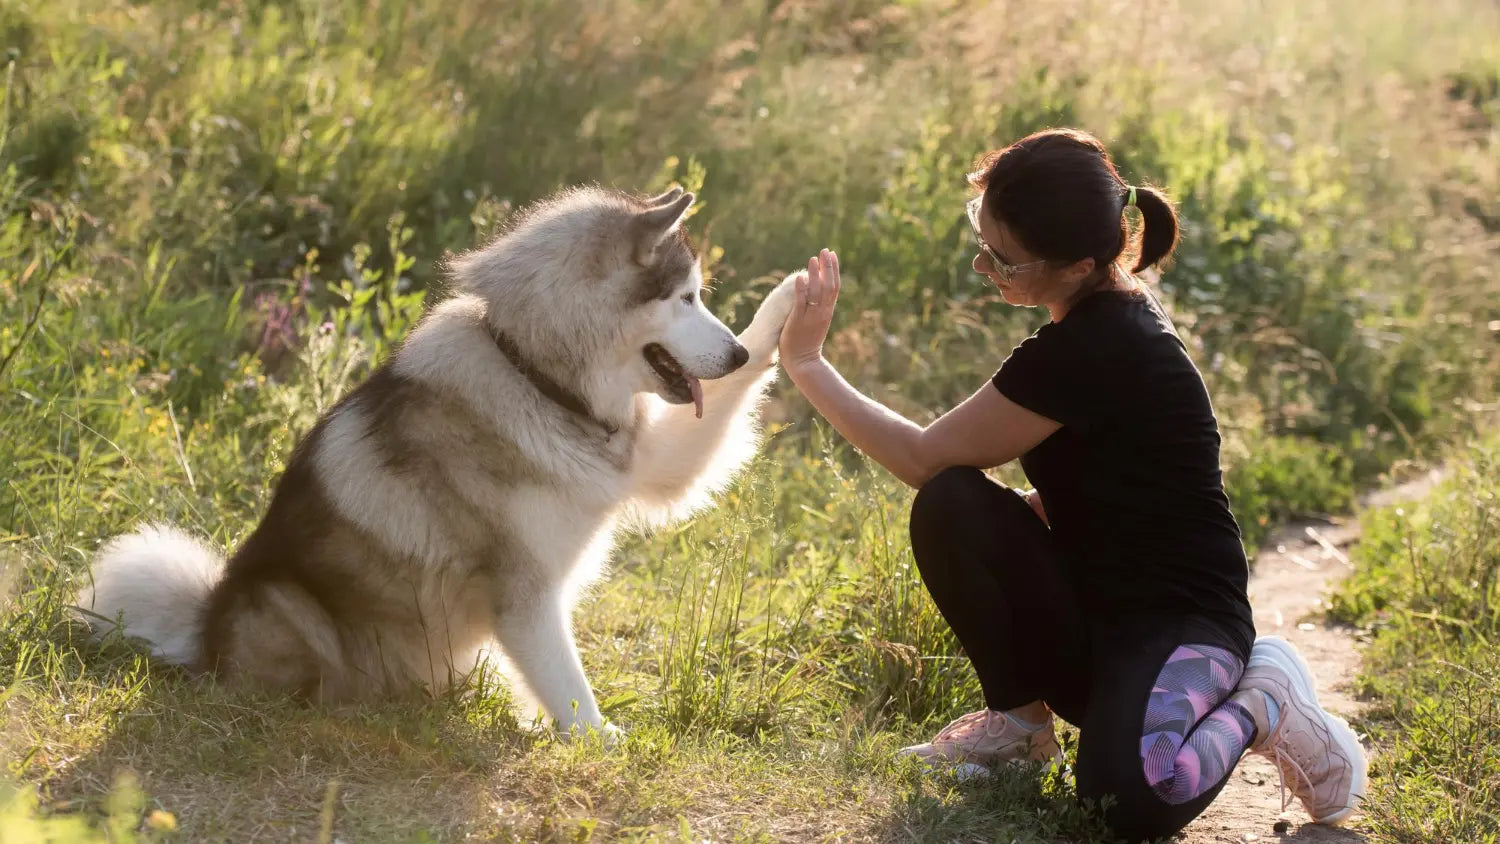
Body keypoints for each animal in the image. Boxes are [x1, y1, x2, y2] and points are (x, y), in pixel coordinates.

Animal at [73, 186, 798, 740]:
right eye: (686, 298)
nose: (731, 353)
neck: (534, 376)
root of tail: (204, 633)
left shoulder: (653, 461)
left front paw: (794, 300)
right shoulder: (524, 592)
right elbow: (568, 683)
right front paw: (600, 740)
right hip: (286, 602)